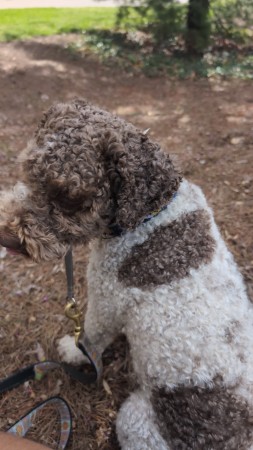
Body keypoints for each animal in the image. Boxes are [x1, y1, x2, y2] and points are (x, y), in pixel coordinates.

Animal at [0, 99, 253, 450]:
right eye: (29, 170)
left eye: (70, 200)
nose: (7, 239)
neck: (150, 212)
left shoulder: (106, 298)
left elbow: (91, 335)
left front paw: (73, 350)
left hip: (135, 420)